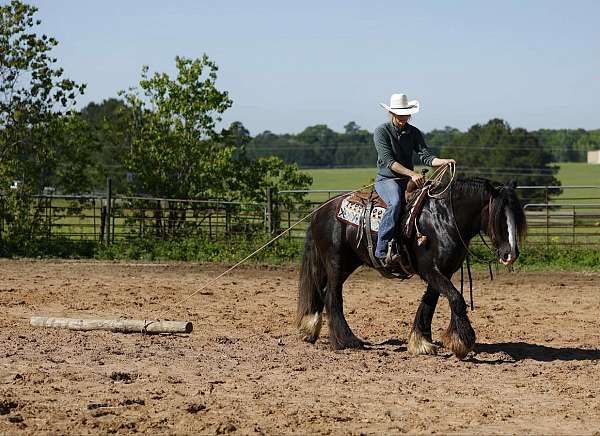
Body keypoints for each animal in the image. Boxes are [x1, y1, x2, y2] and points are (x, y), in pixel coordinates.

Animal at [296, 177, 524, 358]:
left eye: (517, 215)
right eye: (498, 216)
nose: (510, 254)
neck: (445, 219)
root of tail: (321, 209)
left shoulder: (444, 271)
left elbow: (430, 302)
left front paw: (421, 342)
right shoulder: (430, 270)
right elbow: (456, 299)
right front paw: (463, 342)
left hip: (346, 263)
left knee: (322, 290)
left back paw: (310, 329)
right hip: (335, 261)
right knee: (333, 296)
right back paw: (346, 340)